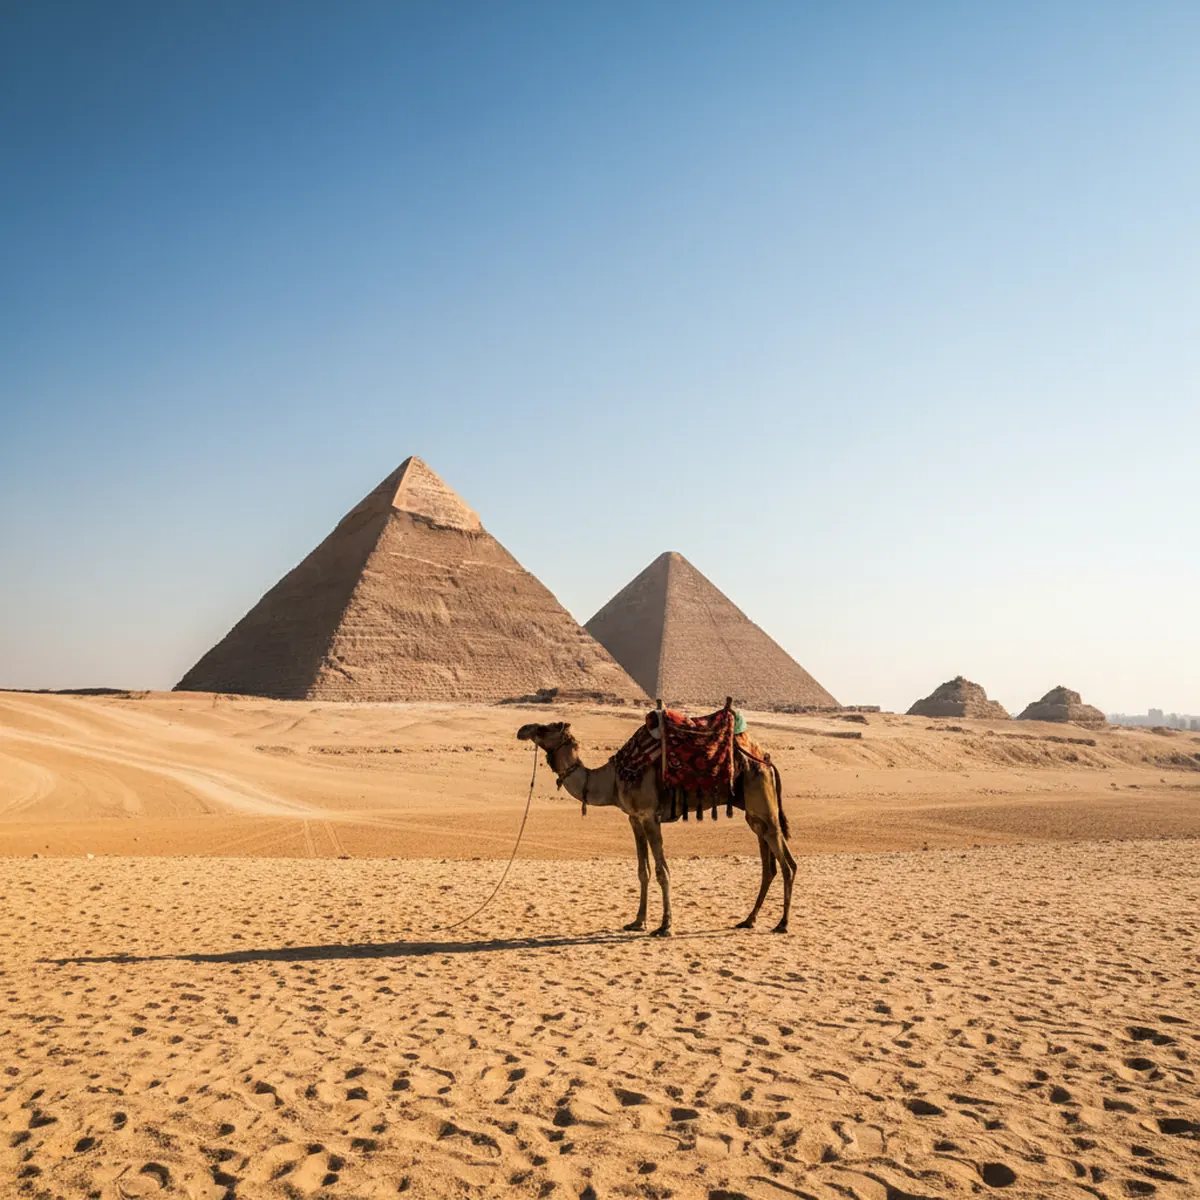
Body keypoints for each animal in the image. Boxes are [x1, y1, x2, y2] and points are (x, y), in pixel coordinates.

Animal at [515, 720, 796, 936]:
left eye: (546, 727)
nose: (522, 729)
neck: (612, 779)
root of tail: (767, 761)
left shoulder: (650, 817)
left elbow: (663, 871)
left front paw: (665, 926)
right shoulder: (634, 819)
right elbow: (644, 871)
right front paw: (637, 921)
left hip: (762, 801)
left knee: (787, 864)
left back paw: (782, 924)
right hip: (754, 812)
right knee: (769, 865)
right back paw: (748, 920)